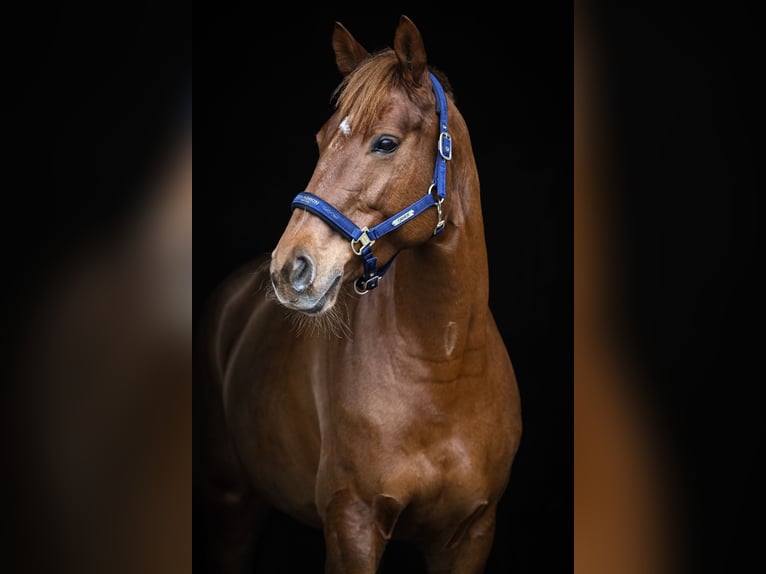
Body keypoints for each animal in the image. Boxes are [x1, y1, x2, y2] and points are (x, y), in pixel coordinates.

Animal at [201, 15, 524, 572]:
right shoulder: (352, 525)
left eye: (386, 143)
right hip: (231, 502)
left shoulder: (472, 532)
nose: (290, 267)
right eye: (321, 138)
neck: (444, 366)